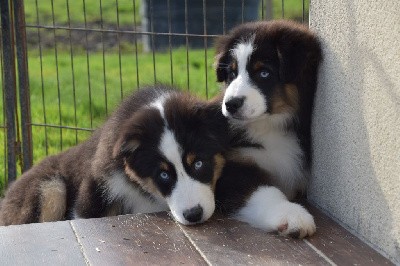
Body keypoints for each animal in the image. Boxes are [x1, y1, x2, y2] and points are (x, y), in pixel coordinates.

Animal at [216, 20, 322, 200]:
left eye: (264, 73)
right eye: (231, 73)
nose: (230, 104)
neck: (271, 125)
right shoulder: (239, 159)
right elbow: (265, 191)